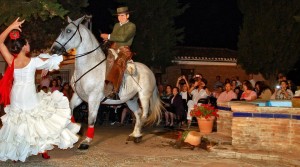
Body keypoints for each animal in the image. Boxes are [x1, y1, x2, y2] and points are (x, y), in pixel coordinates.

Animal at [52, 16, 164, 149]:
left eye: (69, 31)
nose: (53, 49)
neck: (88, 67)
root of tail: (149, 71)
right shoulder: (78, 96)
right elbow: (69, 109)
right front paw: (75, 131)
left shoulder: (93, 99)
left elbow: (91, 119)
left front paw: (86, 141)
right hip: (130, 99)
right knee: (138, 113)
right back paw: (133, 134)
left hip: (144, 96)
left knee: (144, 114)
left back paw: (138, 136)